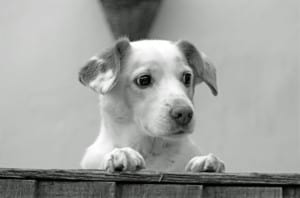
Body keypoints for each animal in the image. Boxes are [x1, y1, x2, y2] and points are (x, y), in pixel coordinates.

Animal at [79, 38, 225, 172]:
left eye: (187, 77)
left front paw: (205, 162)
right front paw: (122, 153)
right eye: (143, 80)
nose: (184, 114)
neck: (152, 149)